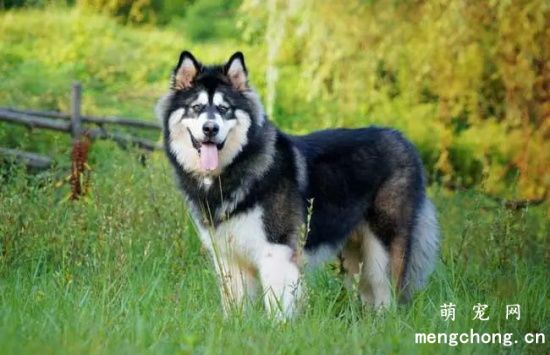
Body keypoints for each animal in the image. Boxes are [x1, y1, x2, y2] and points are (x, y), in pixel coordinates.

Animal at [157, 51, 442, 322]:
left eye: (224, 108)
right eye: (196, 107)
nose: (210, 128)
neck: (233, 169)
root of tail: (403, 139)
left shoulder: (277, 251)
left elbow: (278, 306)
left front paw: (276, 330)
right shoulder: (229, 258)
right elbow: (236, 306)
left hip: (383, 248)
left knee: (387, 293)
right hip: (354, 255)